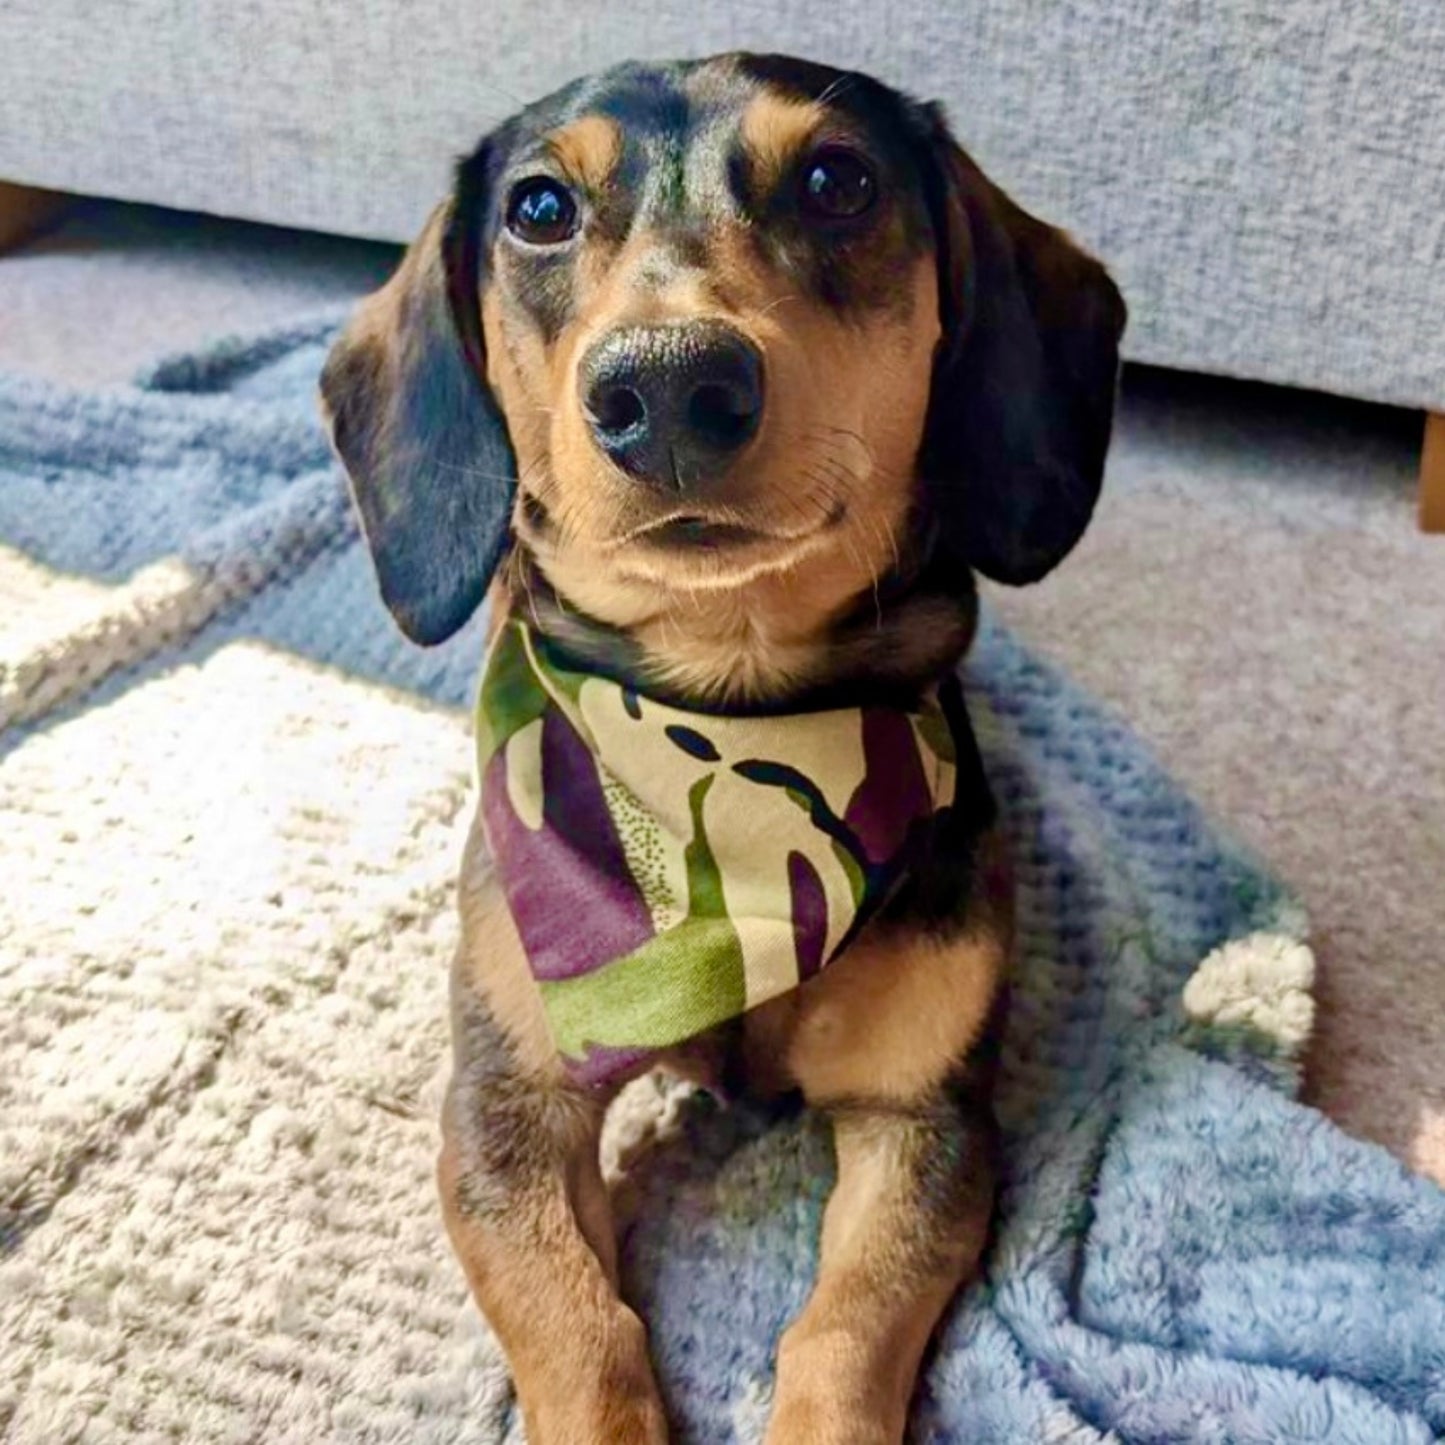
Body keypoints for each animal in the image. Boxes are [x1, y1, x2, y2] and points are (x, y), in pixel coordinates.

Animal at [322, 50, 1121, 1439]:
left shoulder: (921, 1117)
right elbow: (579, 1328)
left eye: (837, 180)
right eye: (538, 208)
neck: (723, 715)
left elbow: (843, 1332)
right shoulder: (505, 1110)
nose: (665, 384)